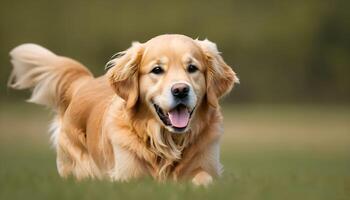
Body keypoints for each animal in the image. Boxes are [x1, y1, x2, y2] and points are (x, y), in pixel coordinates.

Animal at [7, 34, 238, 186]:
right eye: (157, 70)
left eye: (192, 68)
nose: (180, 90)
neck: (167, 142)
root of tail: (84, 82)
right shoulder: (127, 175)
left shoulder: (207, 167)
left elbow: (203, 179)